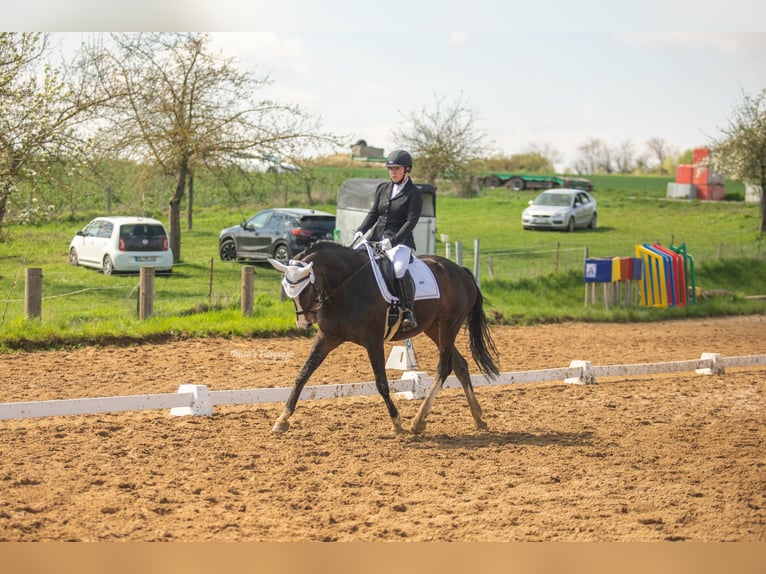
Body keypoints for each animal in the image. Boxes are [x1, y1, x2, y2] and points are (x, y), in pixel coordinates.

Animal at [268, 242, 500, 436]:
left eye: (306, 288)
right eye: (289, 291)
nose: (304, 324)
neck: (345, 285)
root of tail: (461, 271)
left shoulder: (373, 340)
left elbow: (381, 382)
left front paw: (397, 423)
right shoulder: (327, 338)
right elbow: (302, 374)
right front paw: (281, 420)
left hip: (450, 324)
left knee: (444, 367)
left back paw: (418, 421)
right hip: (434, 327)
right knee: (459, 364)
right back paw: (478, 417)